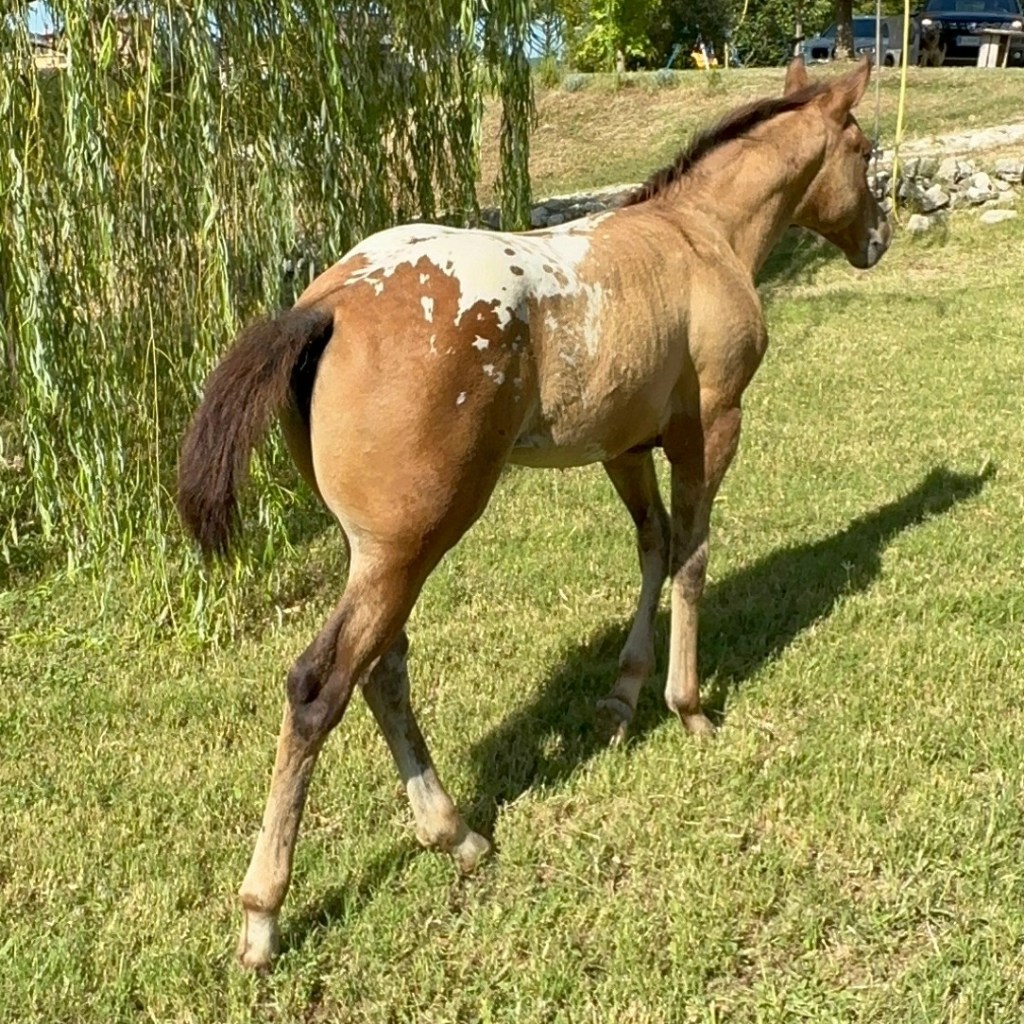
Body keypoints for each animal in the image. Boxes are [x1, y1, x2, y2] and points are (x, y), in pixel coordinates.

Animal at [177, 57, 891, 969]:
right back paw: (266, 913)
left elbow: (654, 547)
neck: (701, 236)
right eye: (864, 151)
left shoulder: (626, 444)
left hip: (376, 549)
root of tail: (329, 304)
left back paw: (455, 833)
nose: (880, 239)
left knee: (383, 668)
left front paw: (622, 697)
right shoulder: (712, 426)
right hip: (414, 541)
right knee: (320, 685)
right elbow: (694, 556)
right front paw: (688, 706)